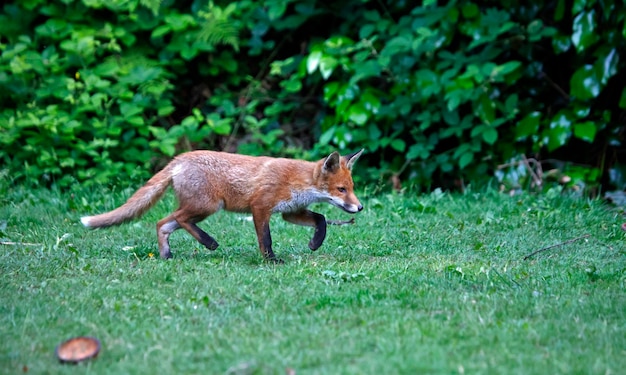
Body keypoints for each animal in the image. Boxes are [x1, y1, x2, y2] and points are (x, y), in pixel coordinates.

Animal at [80, 151, 364, 264]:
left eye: (351, 188)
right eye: (342, 190)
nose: (360, 207)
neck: (298, 180)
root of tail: (179, 159)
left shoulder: (290, 212)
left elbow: (321, 219)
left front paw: (315, 243)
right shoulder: (260, 208)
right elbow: (266, 239)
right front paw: (271, 261)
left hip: (199, 208)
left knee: (162, 223)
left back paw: (166, 255)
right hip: (207, 206)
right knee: (179, 219)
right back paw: (209, 242)